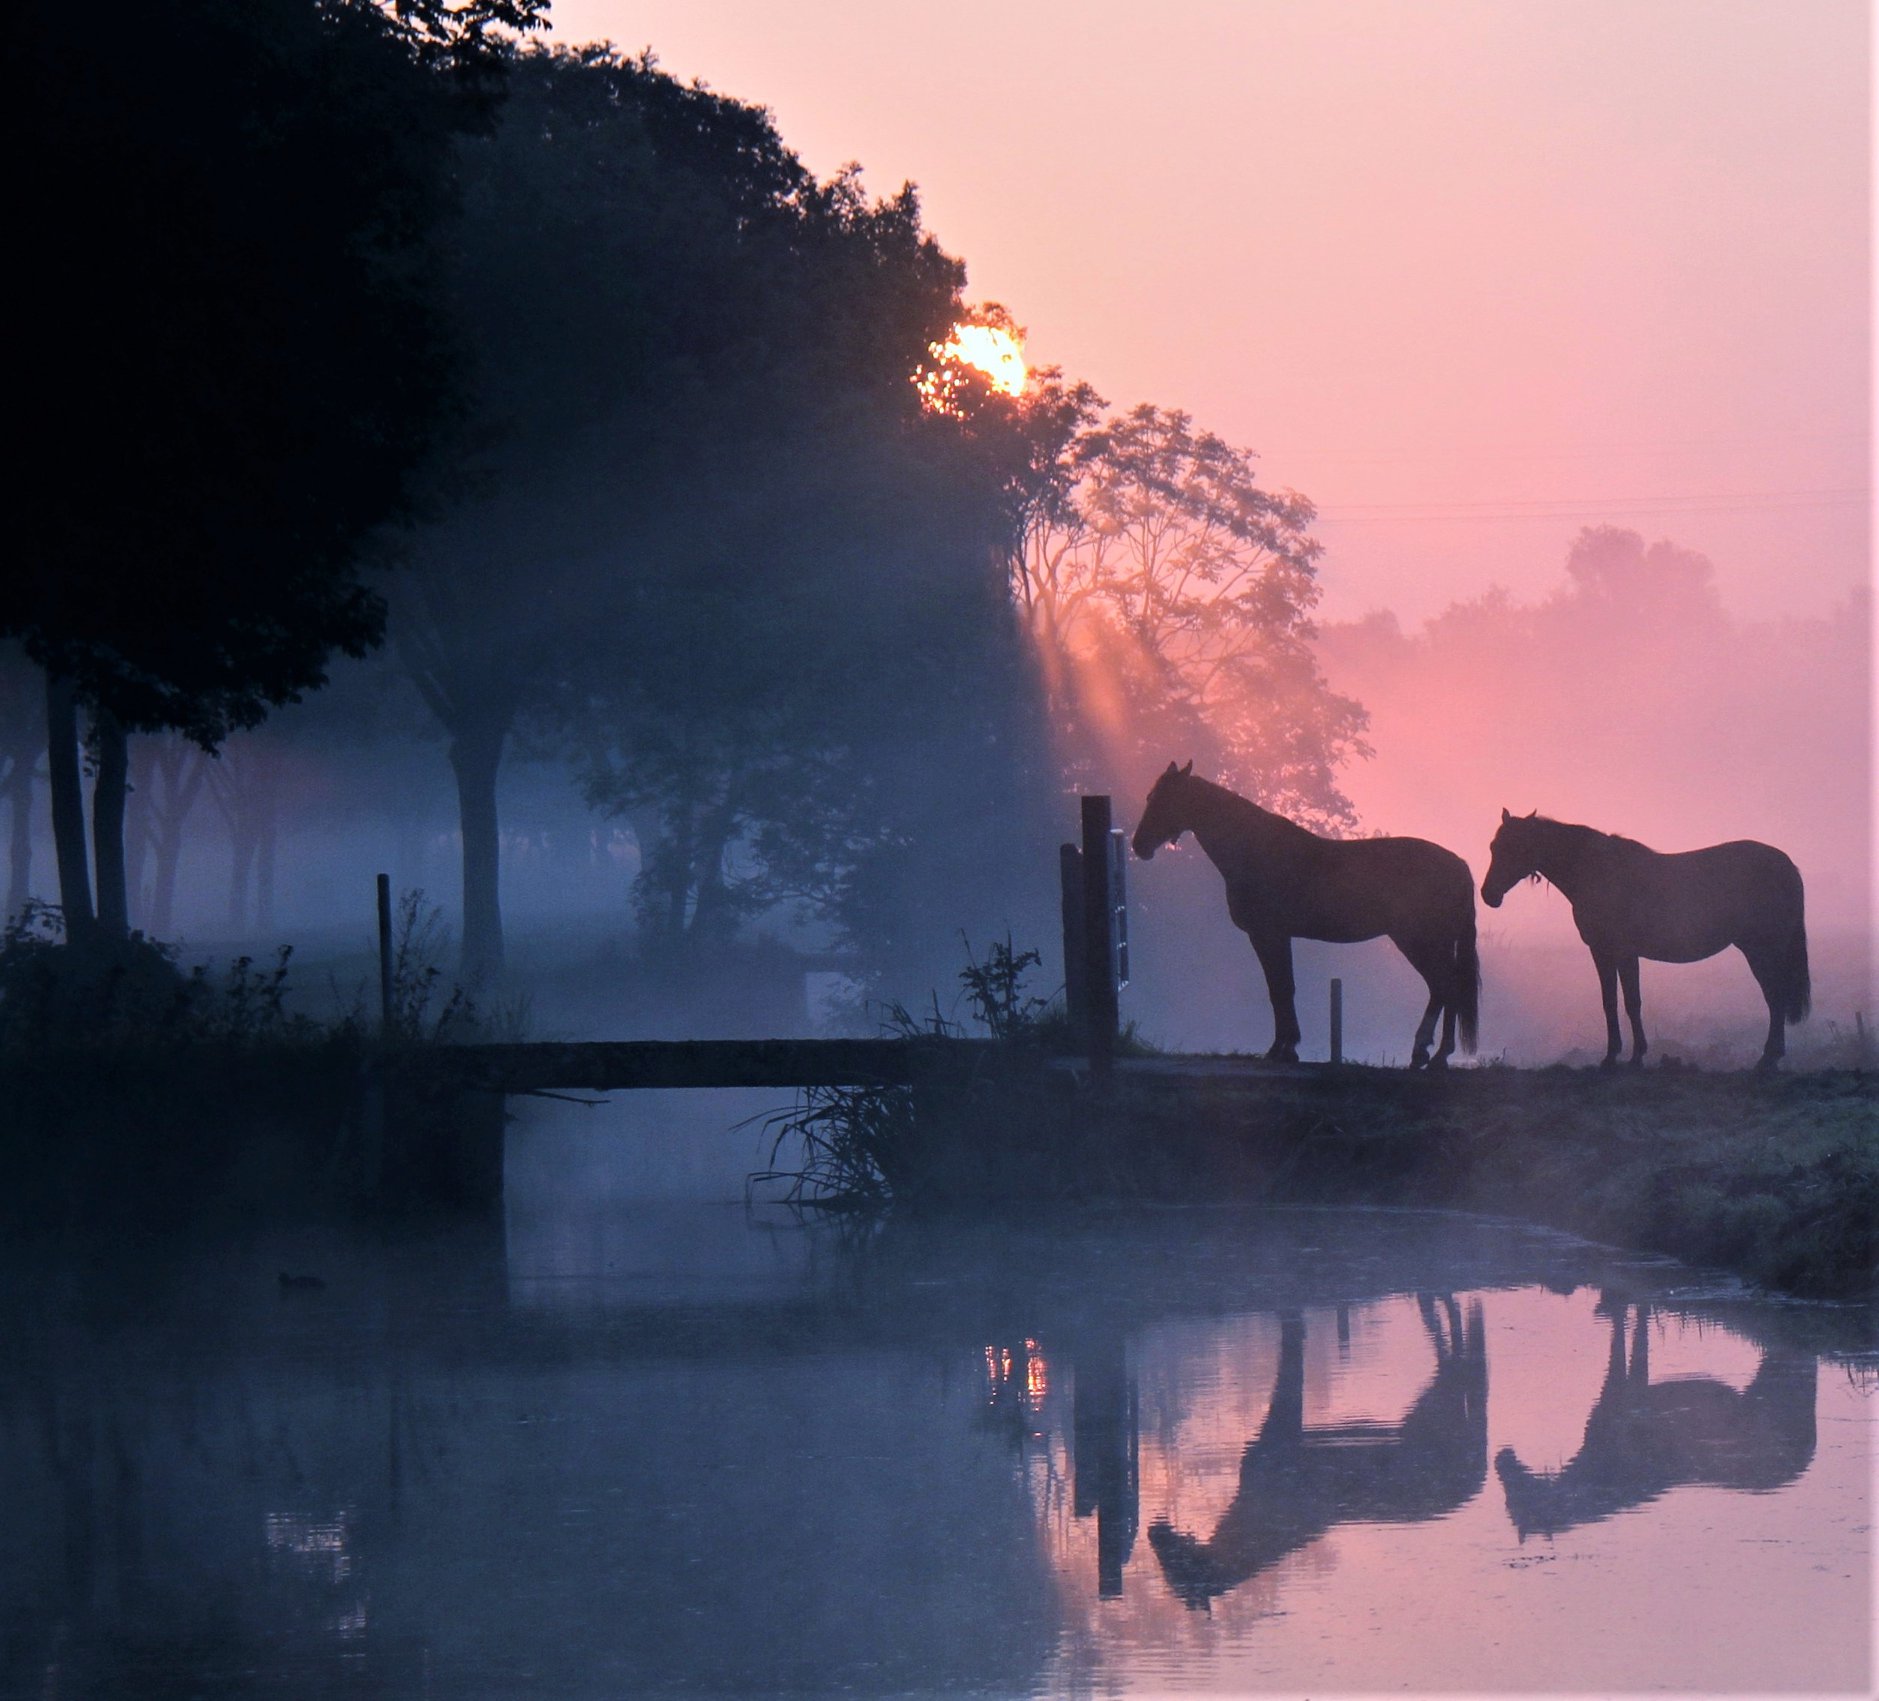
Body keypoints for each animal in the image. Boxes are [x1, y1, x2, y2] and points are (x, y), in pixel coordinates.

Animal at [1131, 761, 1479, 1068]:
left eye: (1165, 799)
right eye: (1150, 797)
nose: (1139, 846)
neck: (1255, 849)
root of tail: (1459, 864)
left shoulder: (1268, 935)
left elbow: (1280, 989)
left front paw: (1281, 1049)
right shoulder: (1275, 936)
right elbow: (1282, 988)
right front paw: (1286, 1048)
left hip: (1418, 941)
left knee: (1444, 987)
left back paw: (1432, 1054)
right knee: (1444, 988)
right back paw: (1429, 1054)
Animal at [1481, 809, 1809, 1070]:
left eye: (1515, 846)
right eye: (1494, 846)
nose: (1488, 895)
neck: (1596, 872)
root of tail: (1786, 864)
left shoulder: (1620, 952)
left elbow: (1630, 1002)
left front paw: (1631, 1056)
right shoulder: (1605, 952)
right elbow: (1611, 1001)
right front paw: (1616, 1055)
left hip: (1762, 950)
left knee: (1775, 996)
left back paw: (1769, 1058)